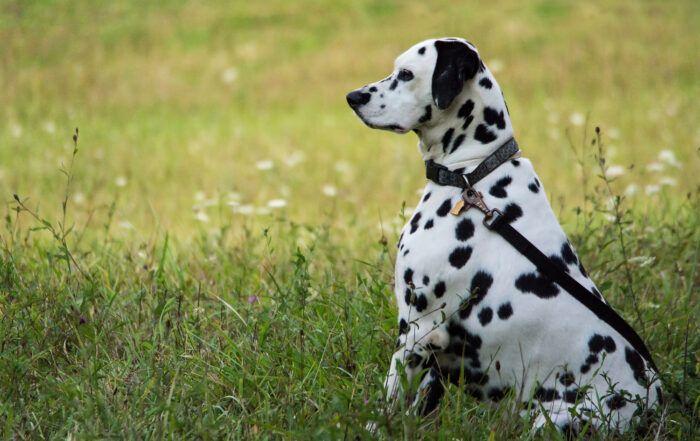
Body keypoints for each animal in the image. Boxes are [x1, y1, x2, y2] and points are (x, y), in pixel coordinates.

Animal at [346, 37, 660, 434]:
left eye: (405, 74)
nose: (352, 97)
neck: (471, 175)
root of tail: (650, 408)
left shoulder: (419, 329)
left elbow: (388, 405)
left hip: (554, 421)